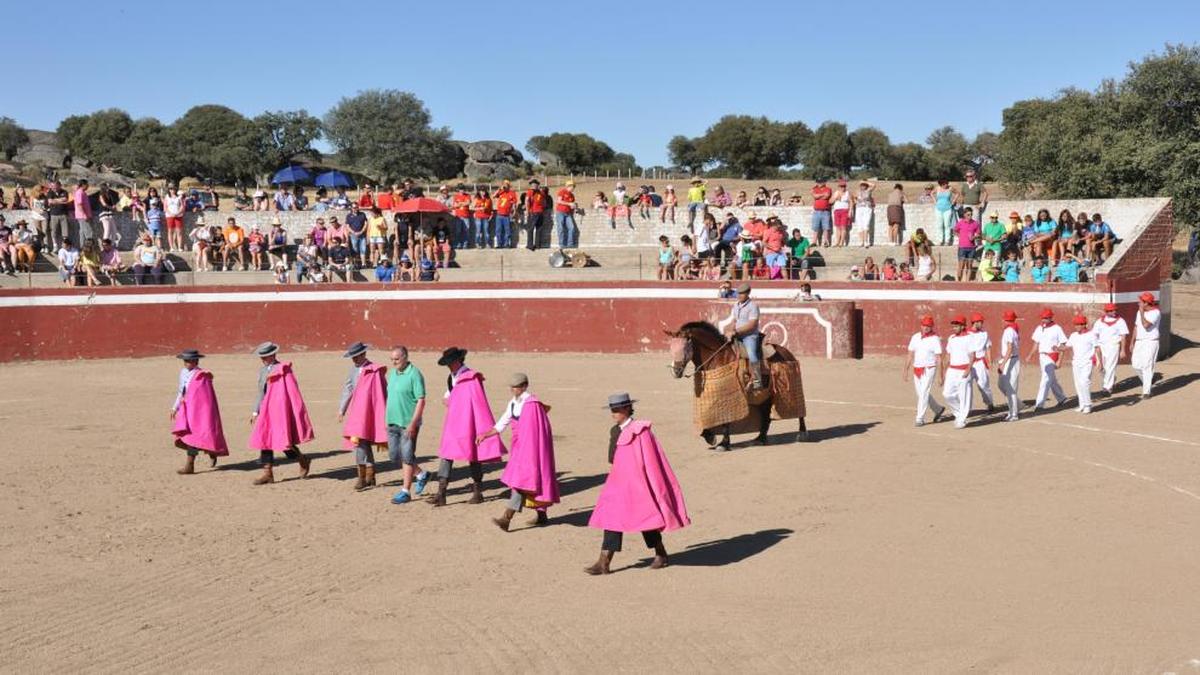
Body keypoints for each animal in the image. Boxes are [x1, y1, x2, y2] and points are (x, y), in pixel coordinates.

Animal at [667, 317, 806, 449]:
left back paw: (802, 434)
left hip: (791, 385)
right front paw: (711, 437)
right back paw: (760, 439)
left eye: (685, 348)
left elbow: (725, 420)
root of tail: (787, 352)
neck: (717, 357)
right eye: (671, 348)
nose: (676, 371)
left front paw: (723, 443)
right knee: (766, 415)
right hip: (764, 395)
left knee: (799, 410)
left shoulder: (726, 395)